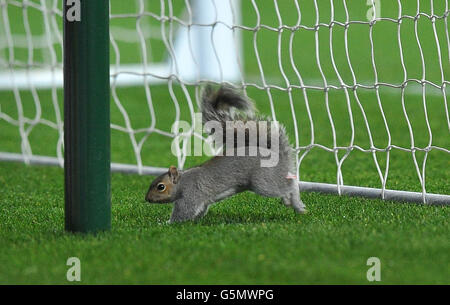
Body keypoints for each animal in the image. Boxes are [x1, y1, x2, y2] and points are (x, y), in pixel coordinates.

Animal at [146, 84, 308, 222]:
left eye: (161, 186)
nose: (146, 199)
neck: (182, 181)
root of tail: (277, 154)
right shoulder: (202, 201)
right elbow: (199, 211)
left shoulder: (191, 194)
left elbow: (184, 212)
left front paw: (165, 223)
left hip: (264, 181)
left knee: (289, 185)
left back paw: (295, 203)